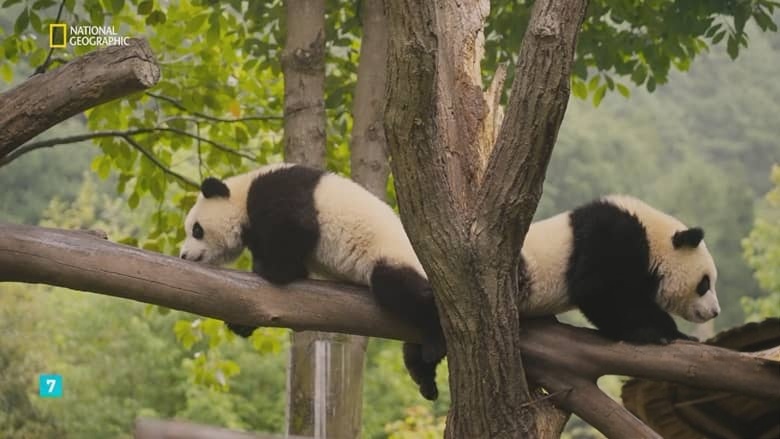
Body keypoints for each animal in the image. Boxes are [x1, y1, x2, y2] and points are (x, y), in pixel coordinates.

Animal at [179, 163, 445, 400]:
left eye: (197, 230)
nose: (183, 255)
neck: (242, 193)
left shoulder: (279, 194)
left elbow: (298, 230)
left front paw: (275, 269)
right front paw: (241, 323)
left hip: (393, 258)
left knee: (401, 289)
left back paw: (434, 341)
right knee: (411, 346)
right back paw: (426, 379)